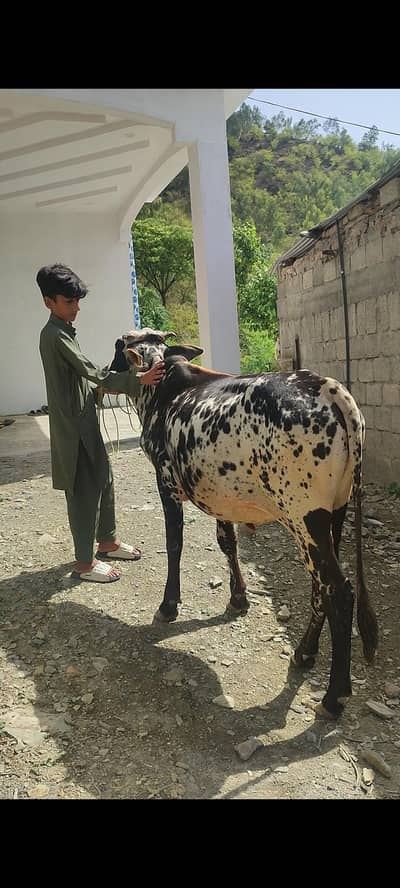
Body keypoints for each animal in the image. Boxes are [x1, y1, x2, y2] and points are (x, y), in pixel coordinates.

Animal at [109, 327, 378, 719]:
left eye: (118, 345)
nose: (106, 372)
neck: (165, 390)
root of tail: (327, 386)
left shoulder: (166, 482)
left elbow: (174, 544)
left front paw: (168, 605)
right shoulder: (221, 495)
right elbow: (227, 542)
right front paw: (238, 599)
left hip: (305, 516)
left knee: (339, 592)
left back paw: (334, 696)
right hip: (332, 516)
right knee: (321, 587)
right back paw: (304, 653)